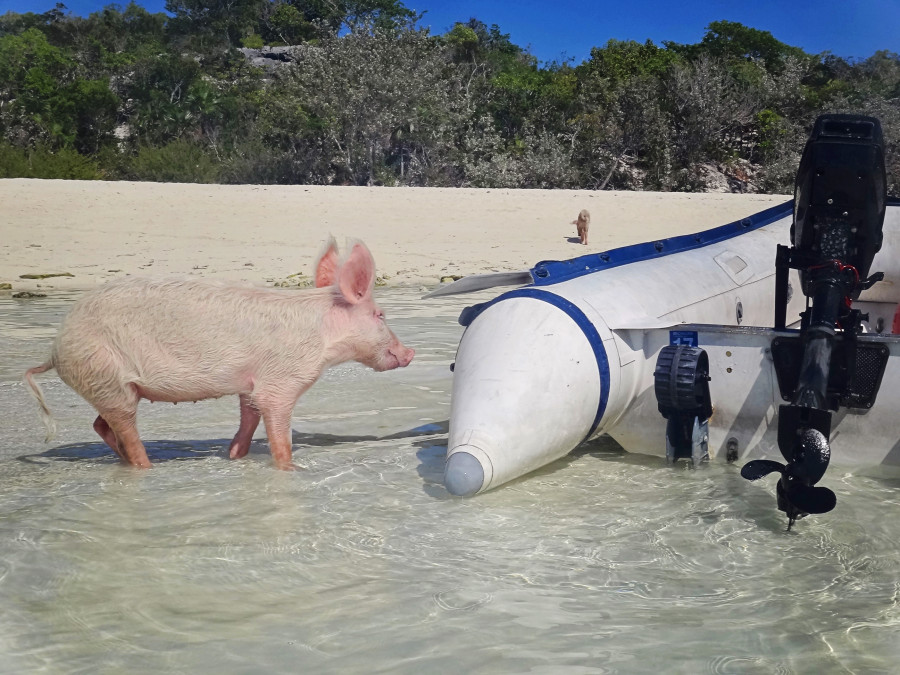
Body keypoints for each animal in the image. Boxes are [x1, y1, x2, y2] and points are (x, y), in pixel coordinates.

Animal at [22, 238, 414, 470]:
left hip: (107, 385)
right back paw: (146, 466)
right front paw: (289, 469)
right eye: (380, 315)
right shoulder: (281, 382)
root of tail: (54, 349)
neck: (320, 337)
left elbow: (248, 419)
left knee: (100, 424)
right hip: (105, 375)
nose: (410, 352)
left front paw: (234, 457)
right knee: (122, 425)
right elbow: (279, 432)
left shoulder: (250, 383)